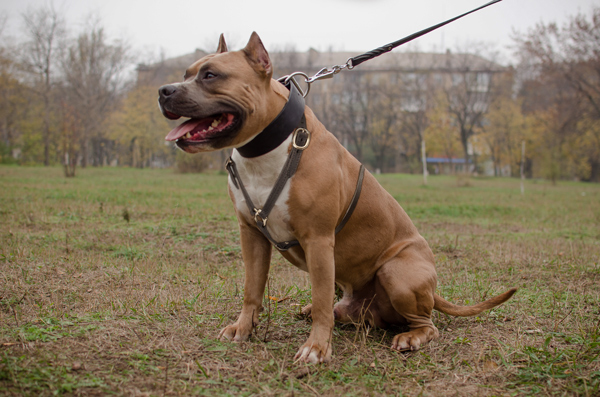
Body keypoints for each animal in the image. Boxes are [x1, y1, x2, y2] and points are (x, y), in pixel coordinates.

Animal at [156, 32, 516, 364]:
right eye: (187, 73)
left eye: (211, 75)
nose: (163, 91)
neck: (268, 147)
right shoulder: (251, 234)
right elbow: (252, 289)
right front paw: (243, 329)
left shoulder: (317, 239)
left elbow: (320, 301)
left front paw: (317, 348)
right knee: (343, 309)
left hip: (397, 272)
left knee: (426, 323)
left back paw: (410, 337)